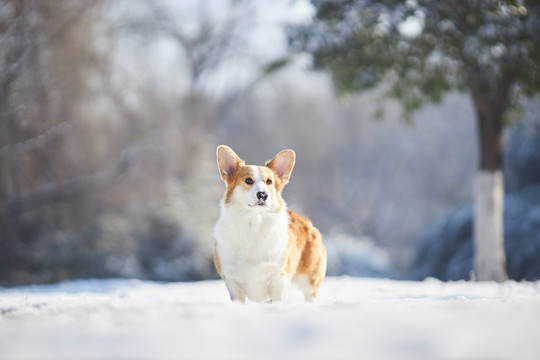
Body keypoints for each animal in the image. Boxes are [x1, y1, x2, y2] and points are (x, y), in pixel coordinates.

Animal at [214, 145, 324, 302]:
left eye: (269, 182)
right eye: (248, 180)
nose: (263, 195)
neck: (254, 224)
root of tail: (307, 221)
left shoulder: (279, 279)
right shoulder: (233, 282)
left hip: (310, 281)